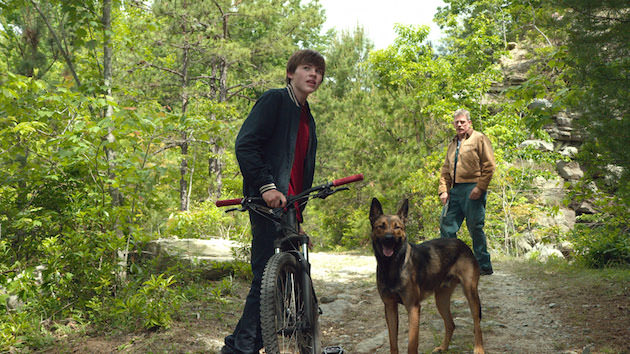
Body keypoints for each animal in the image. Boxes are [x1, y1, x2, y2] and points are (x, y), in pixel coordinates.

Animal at [368, 198, 486, 354]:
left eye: (397, 227)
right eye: (381, 226)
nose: (389, 239)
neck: (392, 266)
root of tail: (462, 243)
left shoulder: (413, 308)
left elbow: (412, 345)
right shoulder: (390, 307)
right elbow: (393, 343)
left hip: (470, 293)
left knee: (477, 323)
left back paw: (478, 348)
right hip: (441, 300)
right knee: (451, 324)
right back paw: (443, 347)